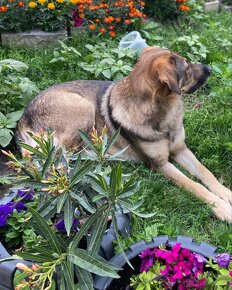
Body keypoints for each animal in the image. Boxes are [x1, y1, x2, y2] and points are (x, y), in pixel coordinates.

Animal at [16, 46, 232, 222]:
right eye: (187, 67)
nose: (210, 69)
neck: (162, 113)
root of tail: (23, 118)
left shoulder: (180, 149)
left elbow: (206, 173)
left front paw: (226, 194)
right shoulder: (159, 164)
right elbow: (194, 185)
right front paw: (221, 207)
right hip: (82, 109)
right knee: (60, 160)